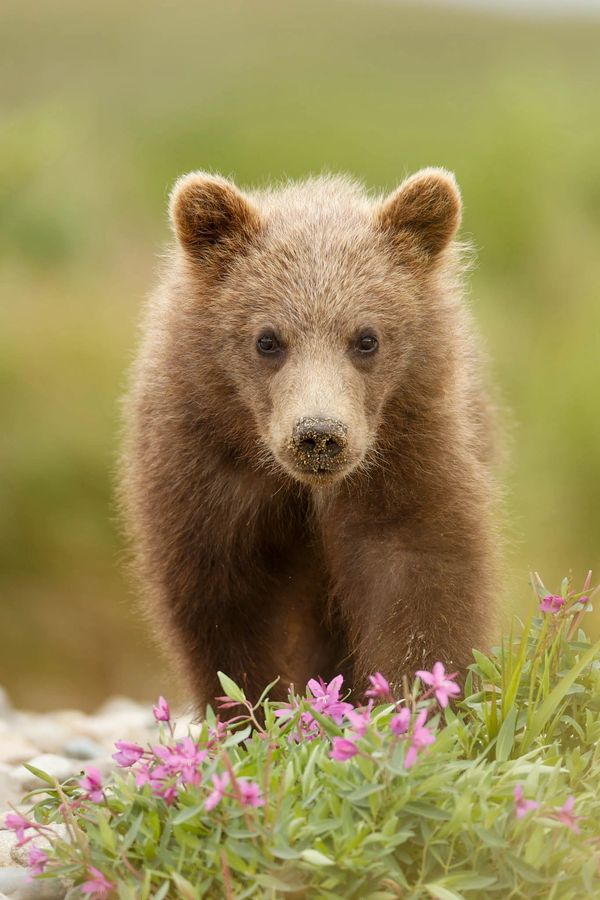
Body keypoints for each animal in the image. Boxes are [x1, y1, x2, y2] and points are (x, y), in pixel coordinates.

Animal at [120, 168, 499, 713]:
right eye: (267, 339)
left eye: (367, 338)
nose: (319, 435)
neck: (303, 489)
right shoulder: (208, 472)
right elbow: (226, 605)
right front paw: (255, 707)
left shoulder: (408, 455)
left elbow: (420, 577)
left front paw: (419, 698)